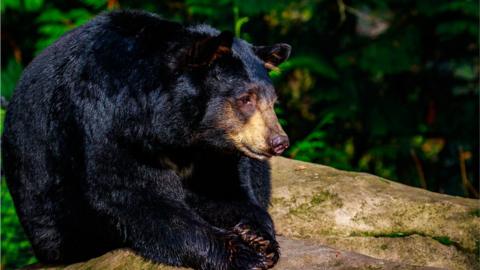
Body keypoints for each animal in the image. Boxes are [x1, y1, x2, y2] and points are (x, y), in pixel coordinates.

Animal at [1, 9, 290, 268]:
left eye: (272, 101)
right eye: (246, 99)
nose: (279, 142)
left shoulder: (211, 149)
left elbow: (222, 186)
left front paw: (258, 236)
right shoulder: (107, 122)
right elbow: (135, 197)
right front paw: (243, 253)